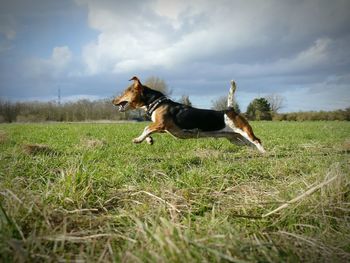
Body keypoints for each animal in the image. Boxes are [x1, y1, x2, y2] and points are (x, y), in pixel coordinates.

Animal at [112, 76, 266, 154]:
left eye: (124, 92)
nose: (113, 101)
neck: (157, 102)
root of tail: (229, 110)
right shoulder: (163, 128)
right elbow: (147, 129)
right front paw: (149, 140)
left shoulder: (160, 124)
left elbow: (146, 128)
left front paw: (138, 139)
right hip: (236, 139)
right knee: (251, 144)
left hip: (244, 131)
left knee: (257, 140)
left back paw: (264, 153)